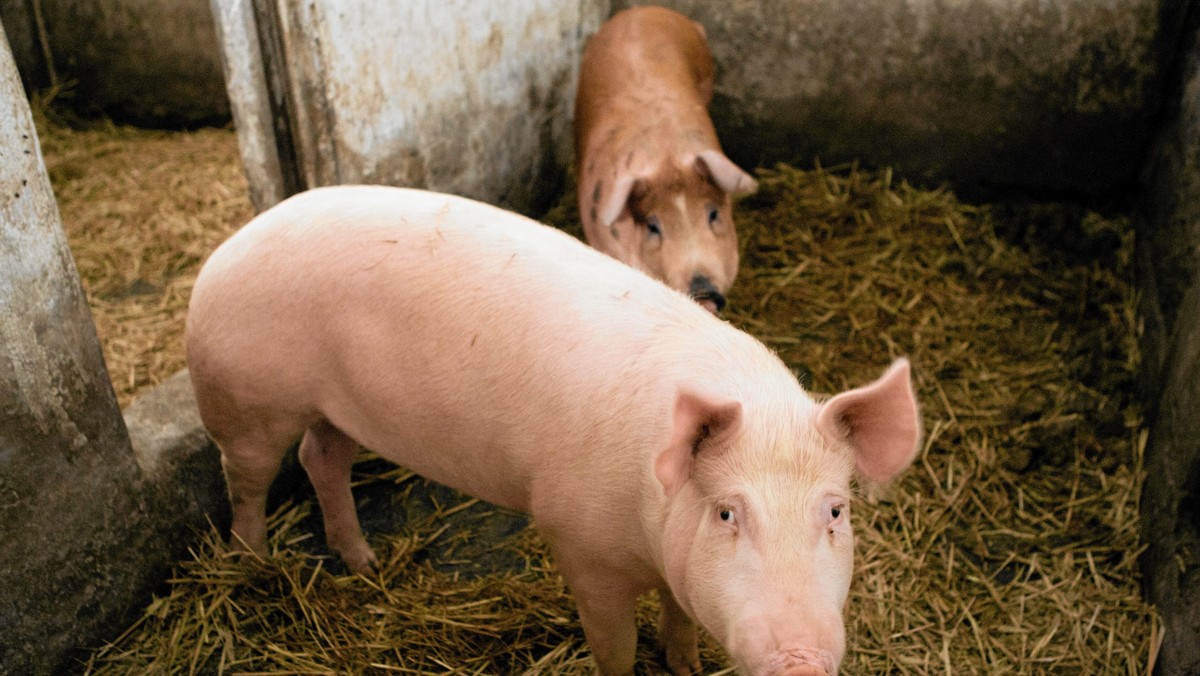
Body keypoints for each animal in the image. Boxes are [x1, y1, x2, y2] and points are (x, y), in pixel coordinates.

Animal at [184, 184, 916, 676]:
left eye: (836, 511)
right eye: (728, 513)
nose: (800, 659)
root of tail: (221, 252)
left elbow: (680, 616)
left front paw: (685, 665)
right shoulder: (580, 547)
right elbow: (616, 649)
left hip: (334, 408)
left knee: (321, 457)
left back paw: (364, 565)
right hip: (245, 401)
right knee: (244, 478)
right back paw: (252, 564)